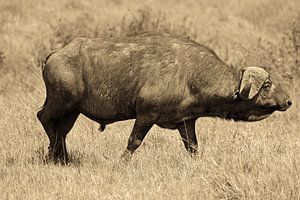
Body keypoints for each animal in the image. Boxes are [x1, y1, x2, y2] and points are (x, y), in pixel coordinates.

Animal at [36, 32, 292, 163]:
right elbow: (134, 141)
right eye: (267, 85)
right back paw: (54, 154)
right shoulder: (145, 115)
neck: (191, 75)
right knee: (44, 118)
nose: (288, 101)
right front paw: (122, 162)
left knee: (62, 132)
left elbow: (193, 147)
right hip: (61, 102)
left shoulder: (186, 122)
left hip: (72, 111)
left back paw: (62, 157)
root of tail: (55, 54)